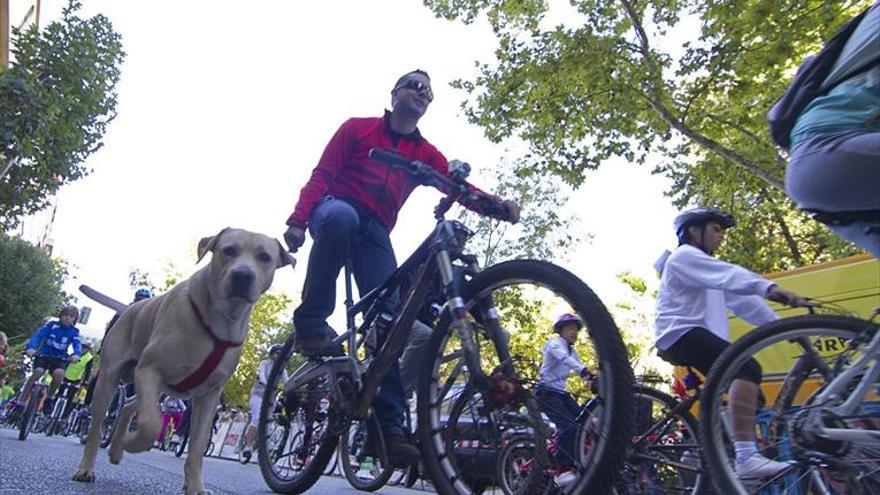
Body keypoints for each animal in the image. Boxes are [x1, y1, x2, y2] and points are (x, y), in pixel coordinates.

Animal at [74, 229, 294, 495]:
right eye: (228, 250)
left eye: (264, 257)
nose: (242, 275)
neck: (219, 321)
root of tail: (130, 308)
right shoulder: (149, 369)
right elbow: (150, 423)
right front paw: (133, 442)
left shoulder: (209, 396)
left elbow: (197, 448)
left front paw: (196, 486)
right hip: (110, 379)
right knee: (97, 426)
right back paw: (88, 467)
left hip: (156, 387)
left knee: (127, 405)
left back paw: (116, 449)